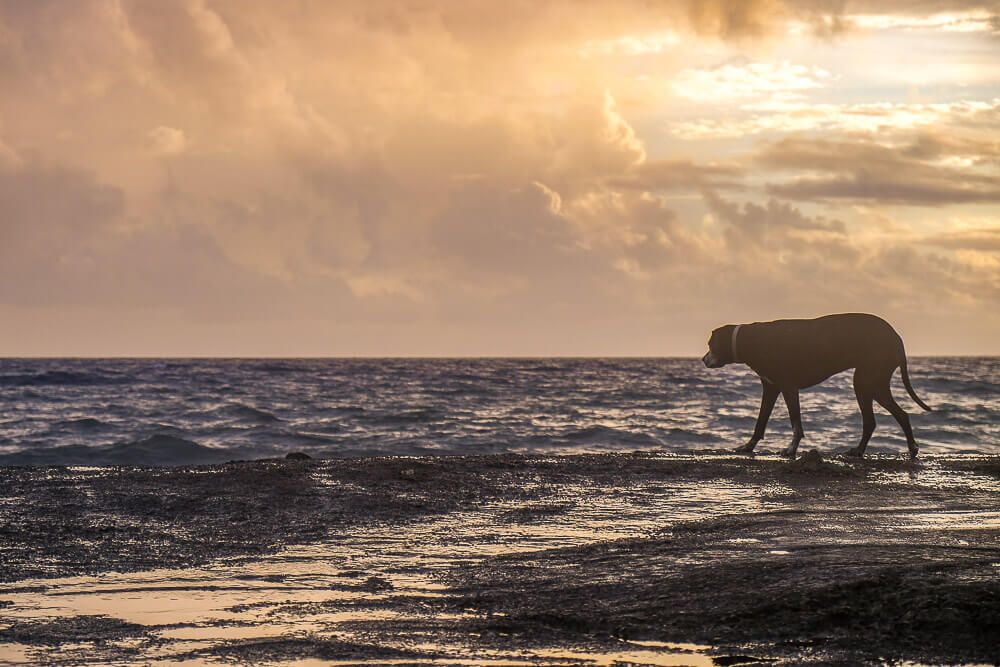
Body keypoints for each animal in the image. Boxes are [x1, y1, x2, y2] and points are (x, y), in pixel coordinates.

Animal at [704, 314, 928, 460]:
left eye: (710, 344)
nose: (703, 359)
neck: (750, 339)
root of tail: (896, 337)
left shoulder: (788, 387)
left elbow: (795, 422)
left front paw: (791, 449)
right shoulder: (771, 388)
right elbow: (760, 422)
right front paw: (748, 446)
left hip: (866, 381)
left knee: (878, 419)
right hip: (873, 384)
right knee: (895, 416)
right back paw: (899, 449)